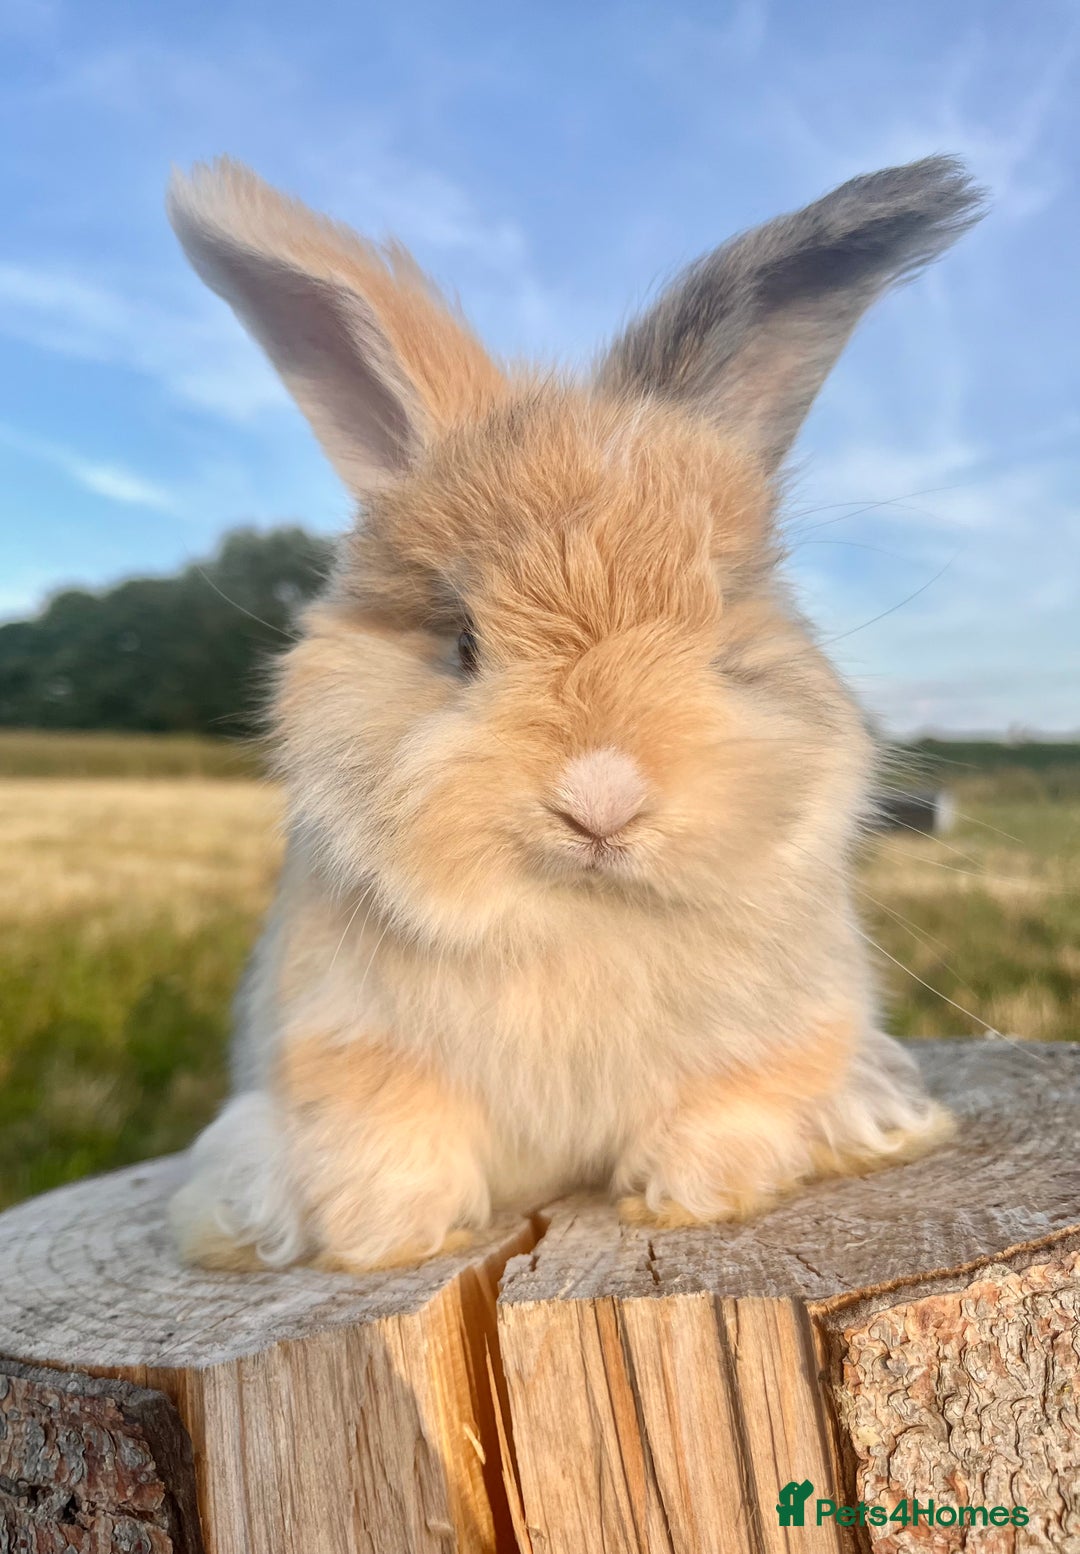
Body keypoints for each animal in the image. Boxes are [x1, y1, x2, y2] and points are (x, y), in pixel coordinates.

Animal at [167, 154, 984, 1273]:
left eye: (722, 643)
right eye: (463, 644)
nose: (601, 801)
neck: (577, 916)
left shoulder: (780, 1039)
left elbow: (730, 1109)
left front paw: (690, 1203)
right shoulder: (344, 1049)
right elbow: (386, 1143)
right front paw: (386, 1243)